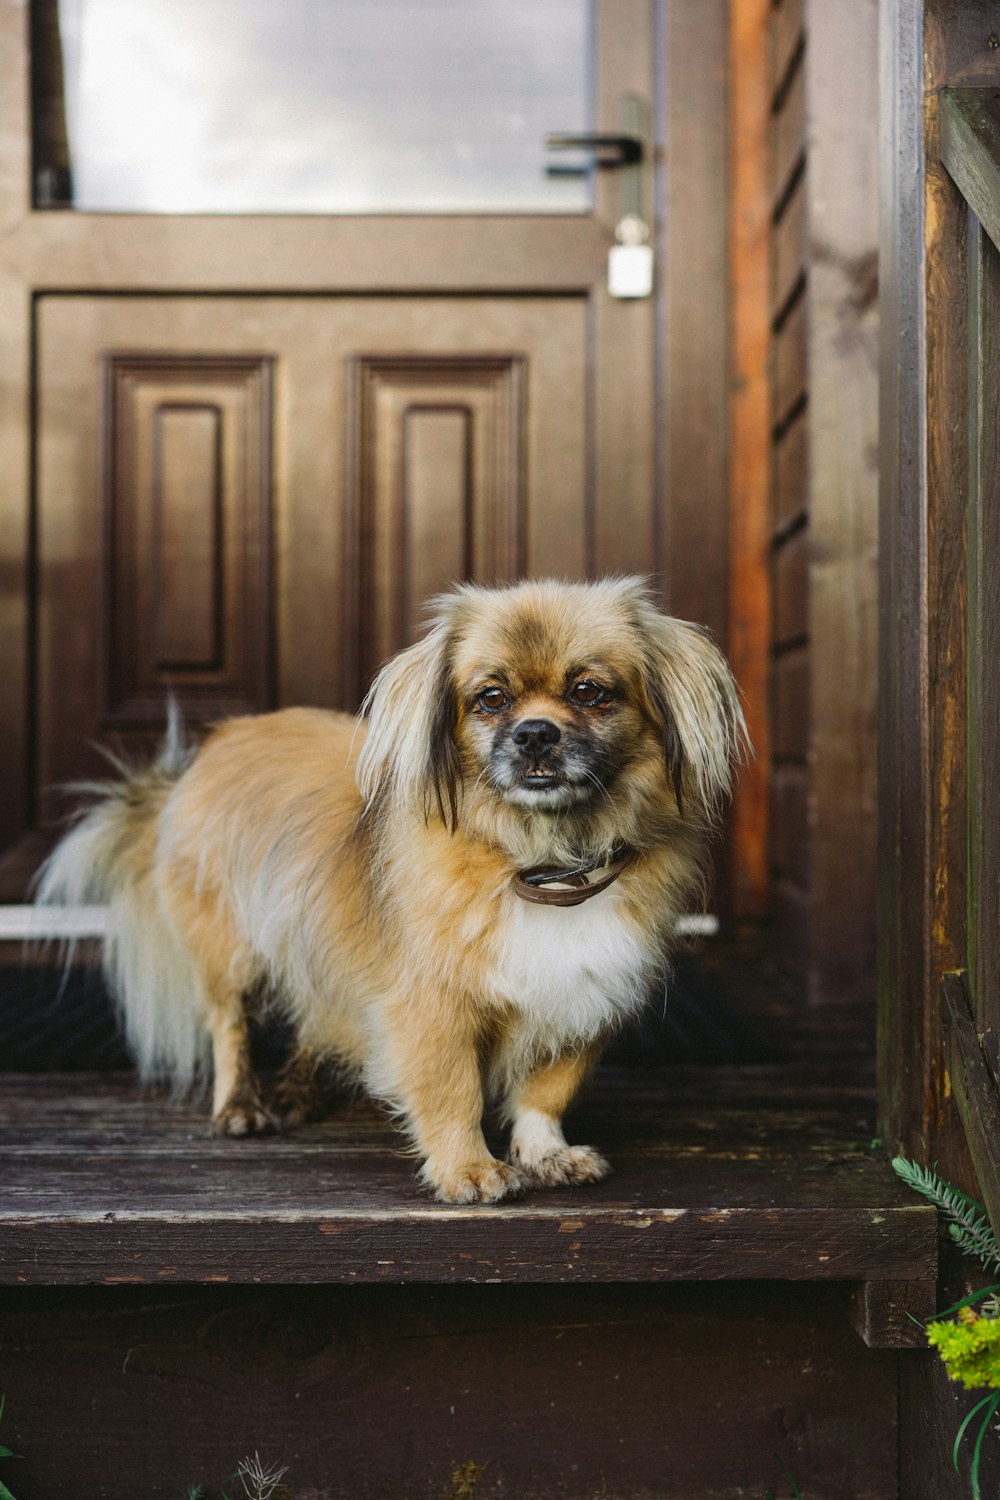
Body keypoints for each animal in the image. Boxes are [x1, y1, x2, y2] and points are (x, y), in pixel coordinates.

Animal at [37, 576, 743, 1206]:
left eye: (590, 691)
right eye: (490, 699)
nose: (536, 733)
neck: (543, 857)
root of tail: (210, 748)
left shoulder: (583, 990)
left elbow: (547, 1090)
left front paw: (546, 1154)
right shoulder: (433, 1005)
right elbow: (453, 1090)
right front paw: (468, 1171)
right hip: (231, 949)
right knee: (229, 1025)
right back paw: (242, 1106)